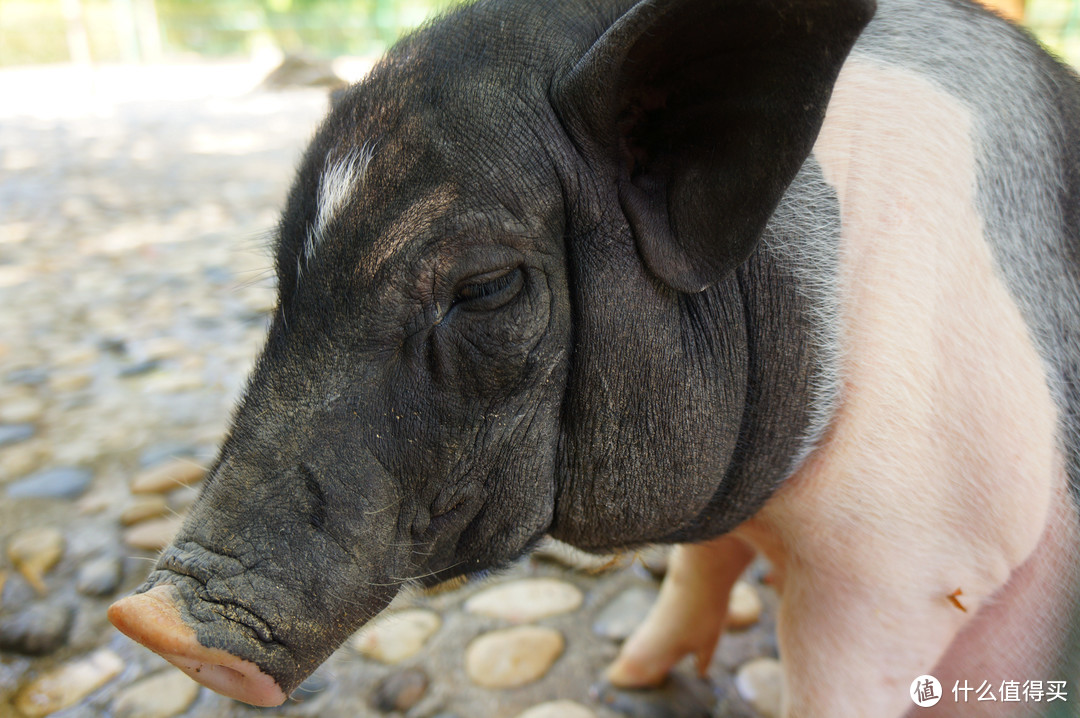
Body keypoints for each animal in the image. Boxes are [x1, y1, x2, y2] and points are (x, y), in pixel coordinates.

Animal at [107, 0, 1080, 712]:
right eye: (286, 277)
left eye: (487, 287)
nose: (149, 622)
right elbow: (700, 563)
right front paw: (629, 679)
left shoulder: (916, 551)